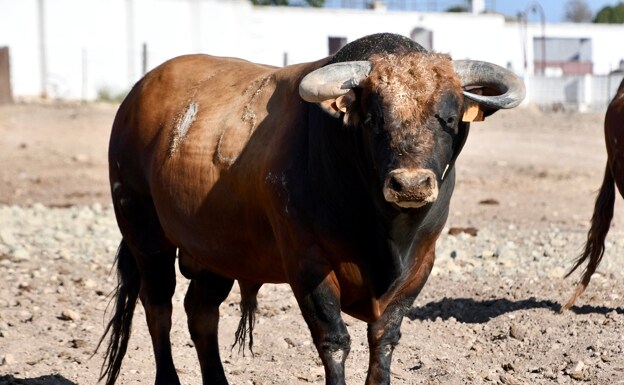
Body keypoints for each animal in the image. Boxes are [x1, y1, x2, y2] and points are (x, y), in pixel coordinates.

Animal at [100, 33, 524, 384]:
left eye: (448, 118)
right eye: (374, 119)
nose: (410, 184)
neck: (386, 233)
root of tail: (137, 95)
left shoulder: (420, 264)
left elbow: (384, 338)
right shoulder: (308, 264)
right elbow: (334, 341)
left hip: (216, 251)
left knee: (201, 312)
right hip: (144, 233)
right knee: (159, 307)